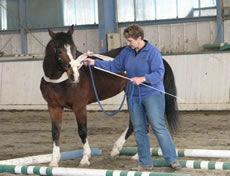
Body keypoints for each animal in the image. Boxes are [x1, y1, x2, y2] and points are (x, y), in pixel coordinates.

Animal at [40, 24, 180, 166]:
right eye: (59, 51)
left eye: (74, 49)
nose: (75, 75)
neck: (59, 81)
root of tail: (161, 59)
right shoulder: (54, 107)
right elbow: (55, 132)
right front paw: (54, 161)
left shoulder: (79, 106)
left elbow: (82, 131)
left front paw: (85, 158)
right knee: (135, 123)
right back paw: (119, 150)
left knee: (142, 124)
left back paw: (133, 154)